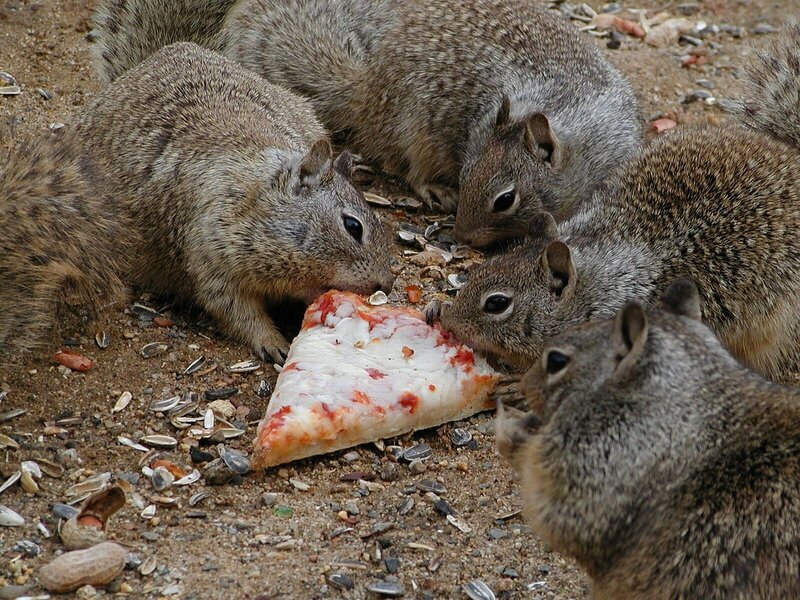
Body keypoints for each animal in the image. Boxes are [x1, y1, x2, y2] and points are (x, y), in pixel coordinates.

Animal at [0, 43, 393, 365]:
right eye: (353, 226)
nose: (386, 286)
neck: (254, 196)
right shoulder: (211, 258)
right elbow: (236, 311)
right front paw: (273, 343)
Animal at [90, 0, 641, 236]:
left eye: (505, 199)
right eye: (467, 175)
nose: (462, 239)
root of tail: (369, 89)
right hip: (417, 127)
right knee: (405, 163)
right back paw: (429, 186)